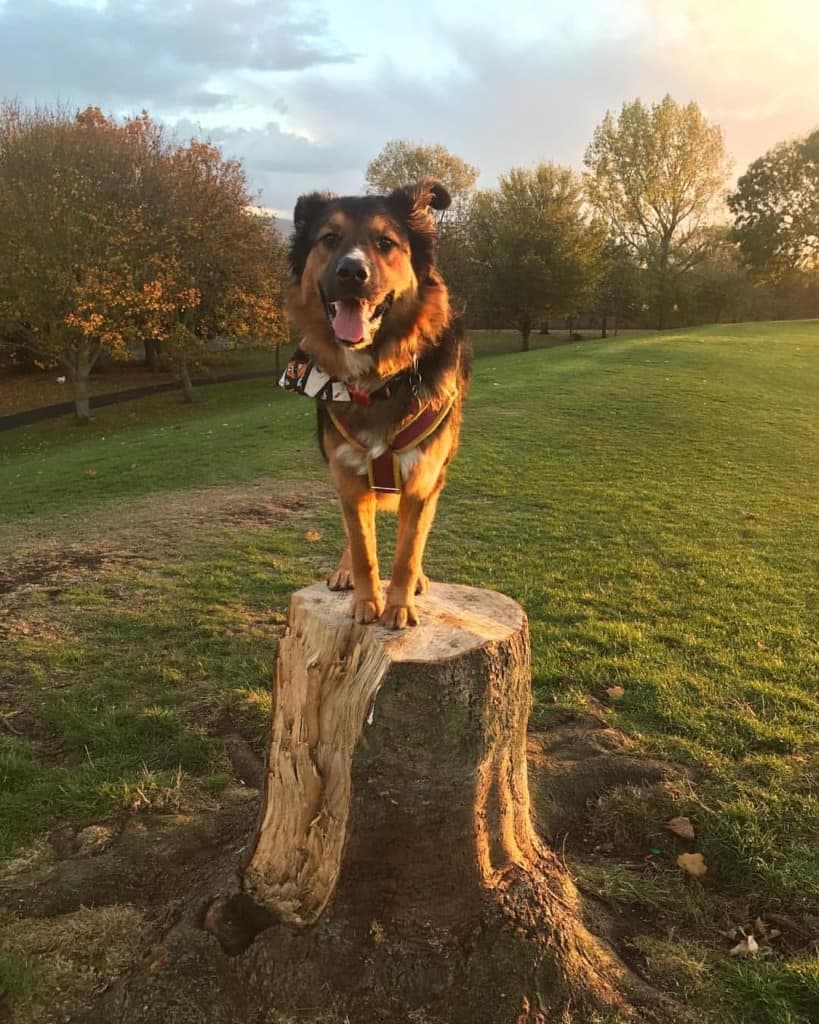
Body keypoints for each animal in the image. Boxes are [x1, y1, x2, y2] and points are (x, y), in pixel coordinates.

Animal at [282, 177, 470, 626]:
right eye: (329, 239)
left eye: (385, 242)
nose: (352, 271)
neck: (381, 379)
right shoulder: (348, 476)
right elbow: (363, 546)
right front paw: (367, 602)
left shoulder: (423, 480)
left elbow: (407, 551)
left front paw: (398, 606)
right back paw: (345, 571)